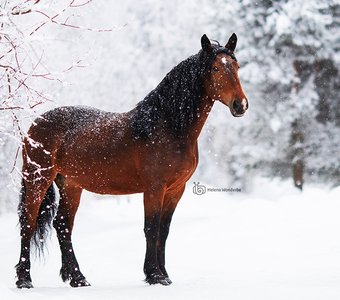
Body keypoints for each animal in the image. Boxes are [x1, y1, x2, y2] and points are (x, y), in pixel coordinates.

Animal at [15, 32, 247, 288]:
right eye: (215, 68)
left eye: (237, 66)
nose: (241, 105)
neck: (166, 127)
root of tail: (36, 124)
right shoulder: (154, 188)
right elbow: (151, 228)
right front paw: (154, 275)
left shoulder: (176, 189)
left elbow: (164, 231)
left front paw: (165, 274)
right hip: (38, 180)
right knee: (28, 222)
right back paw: (24, 279)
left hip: (70, 184)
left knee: (63, 225)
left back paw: (77, 278)